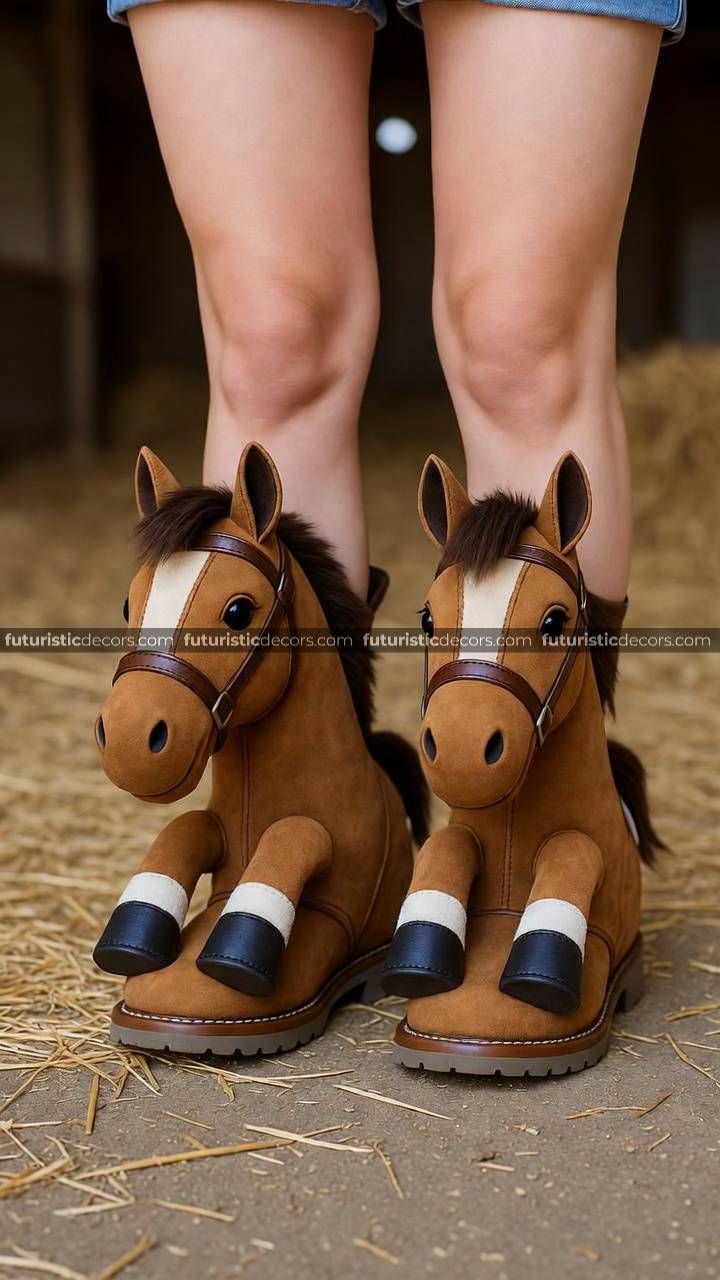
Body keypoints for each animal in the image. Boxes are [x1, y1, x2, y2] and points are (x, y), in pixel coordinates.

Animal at [93, 442, 428, 1056]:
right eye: (130, 604)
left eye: (237, 612)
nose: (130, 739)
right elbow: (185, 828)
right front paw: (128, 949)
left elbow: (292, 836)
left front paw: (233, 964)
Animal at [382, 451, 662, 1076]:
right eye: (429, 619)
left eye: (554, 622)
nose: (461, 751)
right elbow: (445, 845)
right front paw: (417, 970)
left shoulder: (576, 845)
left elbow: (572, 851)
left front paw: (539, 983)